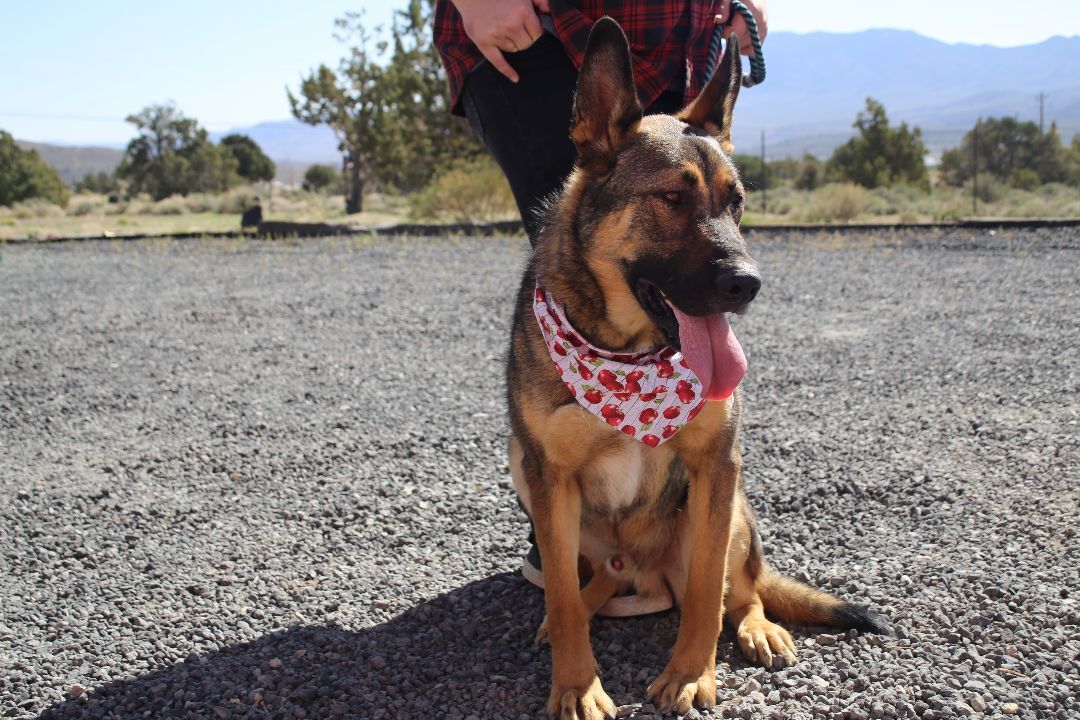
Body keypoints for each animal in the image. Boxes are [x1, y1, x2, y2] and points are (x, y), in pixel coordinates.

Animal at [505, 16, 894, 720]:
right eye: (670, 197)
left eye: (737, 203)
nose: (749, 284)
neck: (630, 354)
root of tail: (641, 568)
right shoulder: (549, 477)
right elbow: (567, 599)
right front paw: (576, 683)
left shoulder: (718, 464)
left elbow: (708, 593)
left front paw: (690, 674)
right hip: (525, 472)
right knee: (592, 582)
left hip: (732, 508)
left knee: (735, 590)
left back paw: (758, 625)